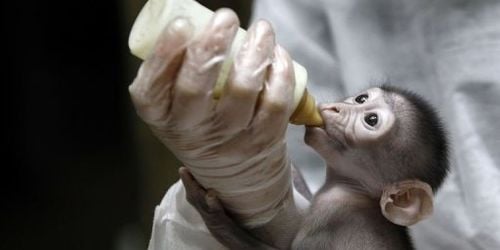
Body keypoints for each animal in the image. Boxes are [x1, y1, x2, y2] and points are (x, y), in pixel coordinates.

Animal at [180, 85, 450, 249]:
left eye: (371, 120)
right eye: (361, 98)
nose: (334, 108)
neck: (357, 193)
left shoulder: (332, 212)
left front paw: (211, 213)